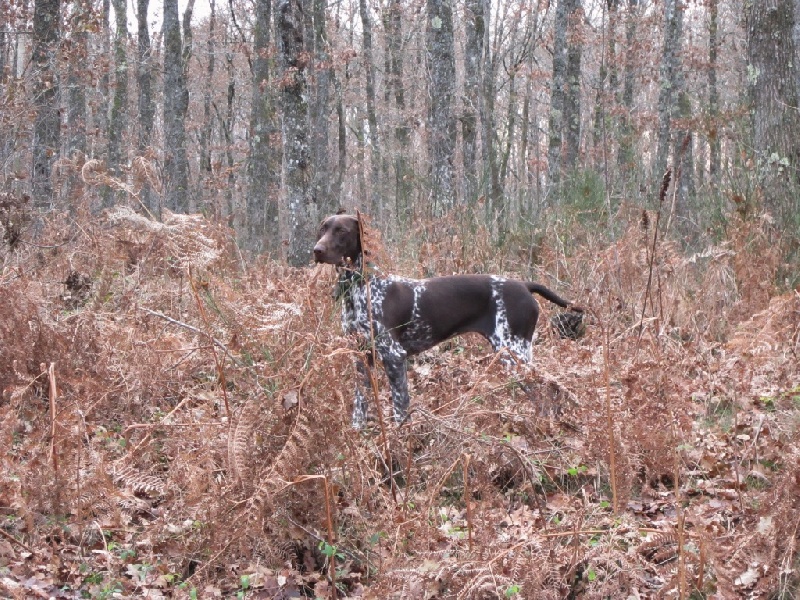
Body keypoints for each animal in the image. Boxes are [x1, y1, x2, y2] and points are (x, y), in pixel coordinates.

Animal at [312, 213, 580, 428]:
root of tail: (524, 285)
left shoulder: (394, 356)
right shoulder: (361, 357)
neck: (361, 288)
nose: (317, 250)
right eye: (323, 228)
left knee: (544, 394)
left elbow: (400, 406)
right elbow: (360, 404)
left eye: (342, 231)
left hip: (513, 354)